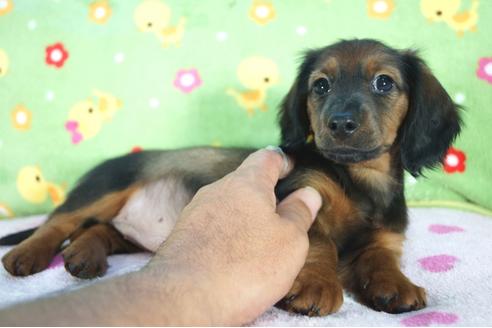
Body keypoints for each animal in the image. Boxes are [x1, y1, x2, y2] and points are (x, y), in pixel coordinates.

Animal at [0, 38, 462, 316]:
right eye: (321, 86)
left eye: (384, 82)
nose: (341, 123)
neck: (358, 178)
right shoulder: (298, 194)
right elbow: (319, 243)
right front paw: (317, 284)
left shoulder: (386, 234)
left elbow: (380, 256)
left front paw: (395, 284)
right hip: (106, 186)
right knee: (61, 222)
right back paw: (27, 254)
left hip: (133, 232)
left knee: (97, 230)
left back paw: (84, 255)